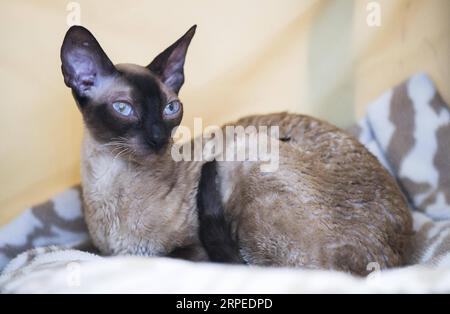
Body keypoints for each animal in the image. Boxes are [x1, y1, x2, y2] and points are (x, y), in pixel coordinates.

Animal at [61, 24, 414, 274]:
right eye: (124, 108)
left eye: (170, 108)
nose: (158, 137)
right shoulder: (104, 249)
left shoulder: (189, 250)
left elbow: (175, 255)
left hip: (246, 149)